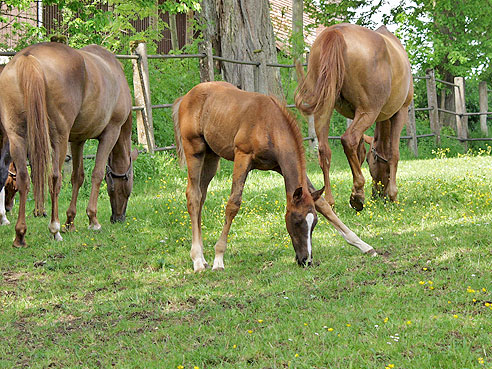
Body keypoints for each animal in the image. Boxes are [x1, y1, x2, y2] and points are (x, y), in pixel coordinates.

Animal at [0, 42, 136, 247]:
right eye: (129, 184)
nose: (118, 218)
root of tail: (28, 57)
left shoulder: (78, 139)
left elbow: (77, 177)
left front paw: (70, 221)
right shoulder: (110, 133)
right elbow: (96, 174)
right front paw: (92, 219)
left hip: (17, 137)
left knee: (24, 178)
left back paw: (20, 234)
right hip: (59, 138)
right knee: (54, 178)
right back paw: (54, 228)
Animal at [173, 82, 376, 272]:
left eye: (314, 223)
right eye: (297, 221)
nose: (306, 261)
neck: (269, 125)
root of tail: (186, 98)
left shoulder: (280, 166)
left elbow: (323, 205)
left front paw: (364, 245)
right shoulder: (242, 156)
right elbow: (233, 204)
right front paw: (218, 259)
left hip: (211, 157)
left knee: (201, 197)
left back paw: (201, 257)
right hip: (195, 150)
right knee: (193, 196)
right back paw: (198, 260)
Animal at [296, 23, 416, 210]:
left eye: (370, 162)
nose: (377, 195)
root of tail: (335, 32)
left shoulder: (354, 114)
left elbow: (359, 152)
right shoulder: (400, 113)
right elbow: (393, 154)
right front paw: (393, 194)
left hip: (325, 107)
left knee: (324, 150)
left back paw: (331, 200)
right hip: (369, 111)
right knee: (348, 139)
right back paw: (358, 195)